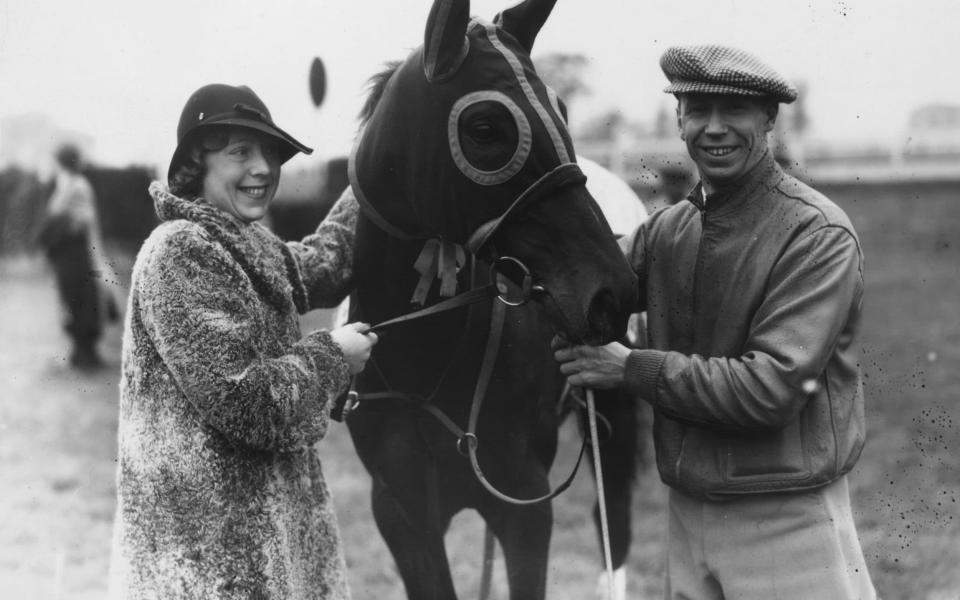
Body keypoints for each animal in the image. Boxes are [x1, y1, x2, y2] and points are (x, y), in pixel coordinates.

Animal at [342, 2, 640, 596]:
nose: (612, 293)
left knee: (612, 529)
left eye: (563, 109)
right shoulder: (403, 512)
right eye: (484, 127)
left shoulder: (526, 504)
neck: (422, 363)